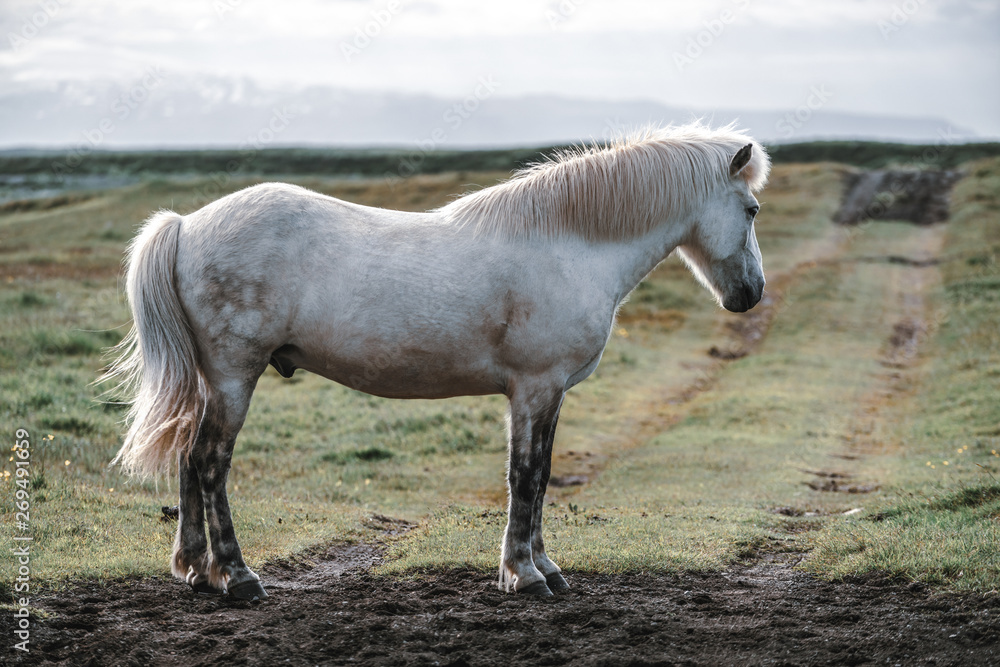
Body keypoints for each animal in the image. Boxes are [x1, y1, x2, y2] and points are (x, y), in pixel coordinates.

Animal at [105, 124, 768, 600]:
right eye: (752, 209)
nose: (752, 293)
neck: (569, 244)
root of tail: (187, 224)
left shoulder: (549, 393)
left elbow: (541, 476)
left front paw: (544, 567)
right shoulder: (534, 388)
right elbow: (526, 476)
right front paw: (524, 575)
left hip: (212, 381)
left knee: (189, 461)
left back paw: (196, 571)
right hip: (234, 376)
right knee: (209, 463)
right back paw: (238, 578)